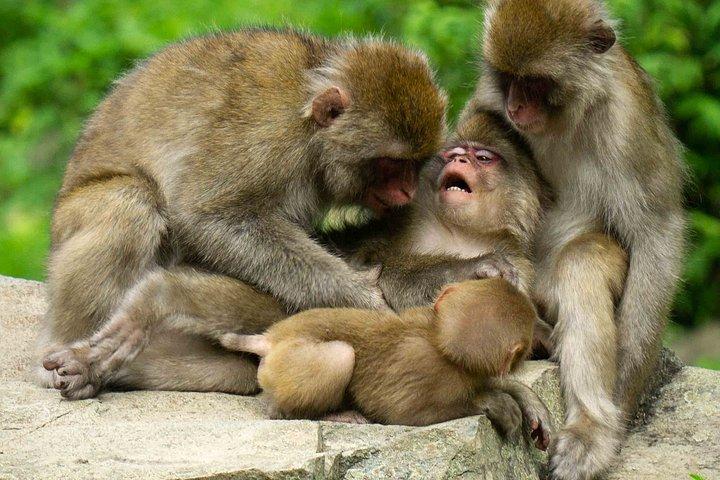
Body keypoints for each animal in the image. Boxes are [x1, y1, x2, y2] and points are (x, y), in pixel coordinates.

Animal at [37, 28, 461, 400]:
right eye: (391, 163)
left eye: (415, 164)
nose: (407, 192)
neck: (311, 130)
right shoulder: (268, 137)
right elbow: (209, 215)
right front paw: (363, 298)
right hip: (68, 225)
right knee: (131, 203)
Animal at [220, 278, 553, 450]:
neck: (437, 336)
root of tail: (270, 339)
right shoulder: (427, 368)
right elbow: (404, 413)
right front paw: (494, 402)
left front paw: (529, 402)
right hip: (287, 364)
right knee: (340, 355)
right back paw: (330, 413)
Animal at [470, 0, 685, 477]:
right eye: (508, 77)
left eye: (535, 82)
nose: (515, 105)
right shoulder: (488, 99)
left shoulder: (627, 120)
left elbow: (656, 231)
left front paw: (619, 403)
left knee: (582, 264)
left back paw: (590, 430)